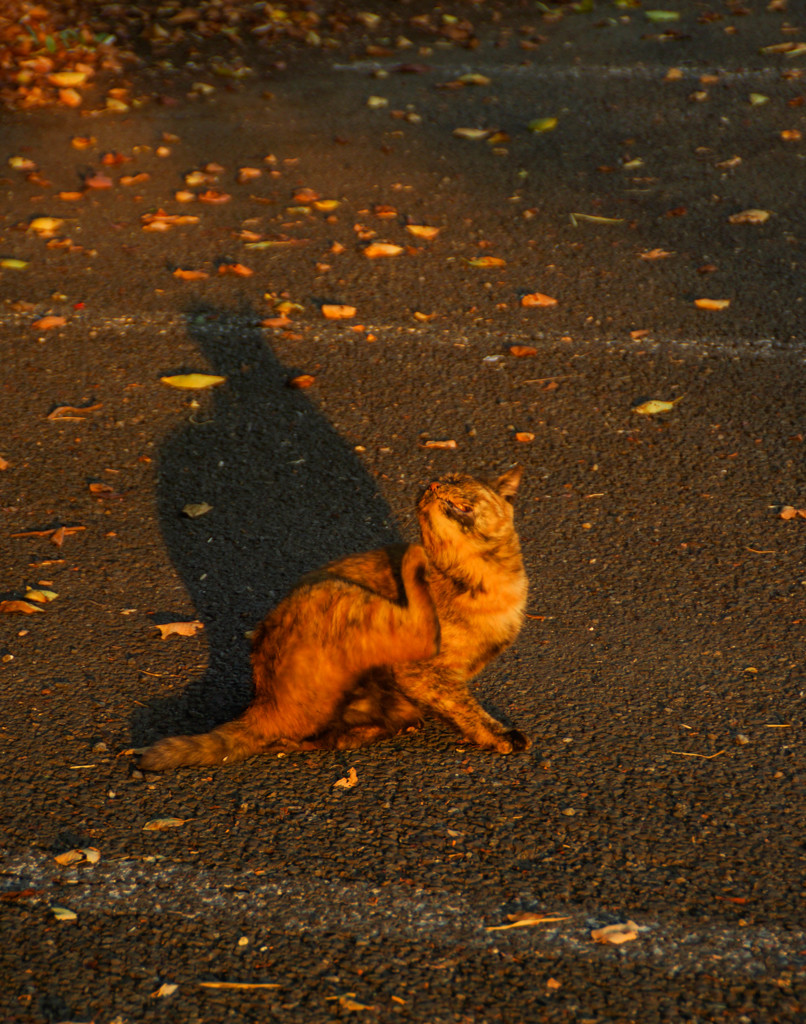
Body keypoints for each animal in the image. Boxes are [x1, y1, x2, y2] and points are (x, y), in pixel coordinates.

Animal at [138, 464, 528, 770]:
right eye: (435, 483)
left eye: (455, 479)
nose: (432, 484)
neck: (487, 580)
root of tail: (259, 704)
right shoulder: (420, 671)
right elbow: (465, 707)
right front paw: (497, 735)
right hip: (344, 596)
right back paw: (411, 559)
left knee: (324, 738)